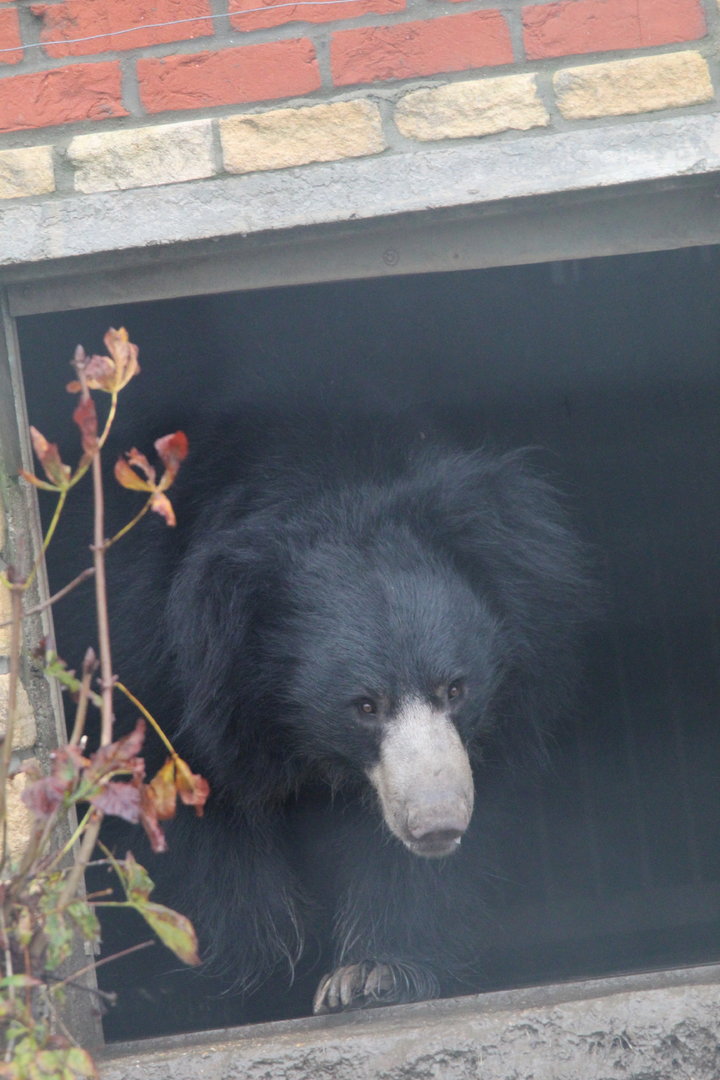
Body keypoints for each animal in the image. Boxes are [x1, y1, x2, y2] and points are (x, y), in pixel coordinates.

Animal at [55, 414, 590, 1028]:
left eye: (455, 689)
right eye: (365, 706)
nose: (436, 825)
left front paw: (372, 974)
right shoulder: (151, 654)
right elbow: (195, 830)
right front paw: (242, 983)